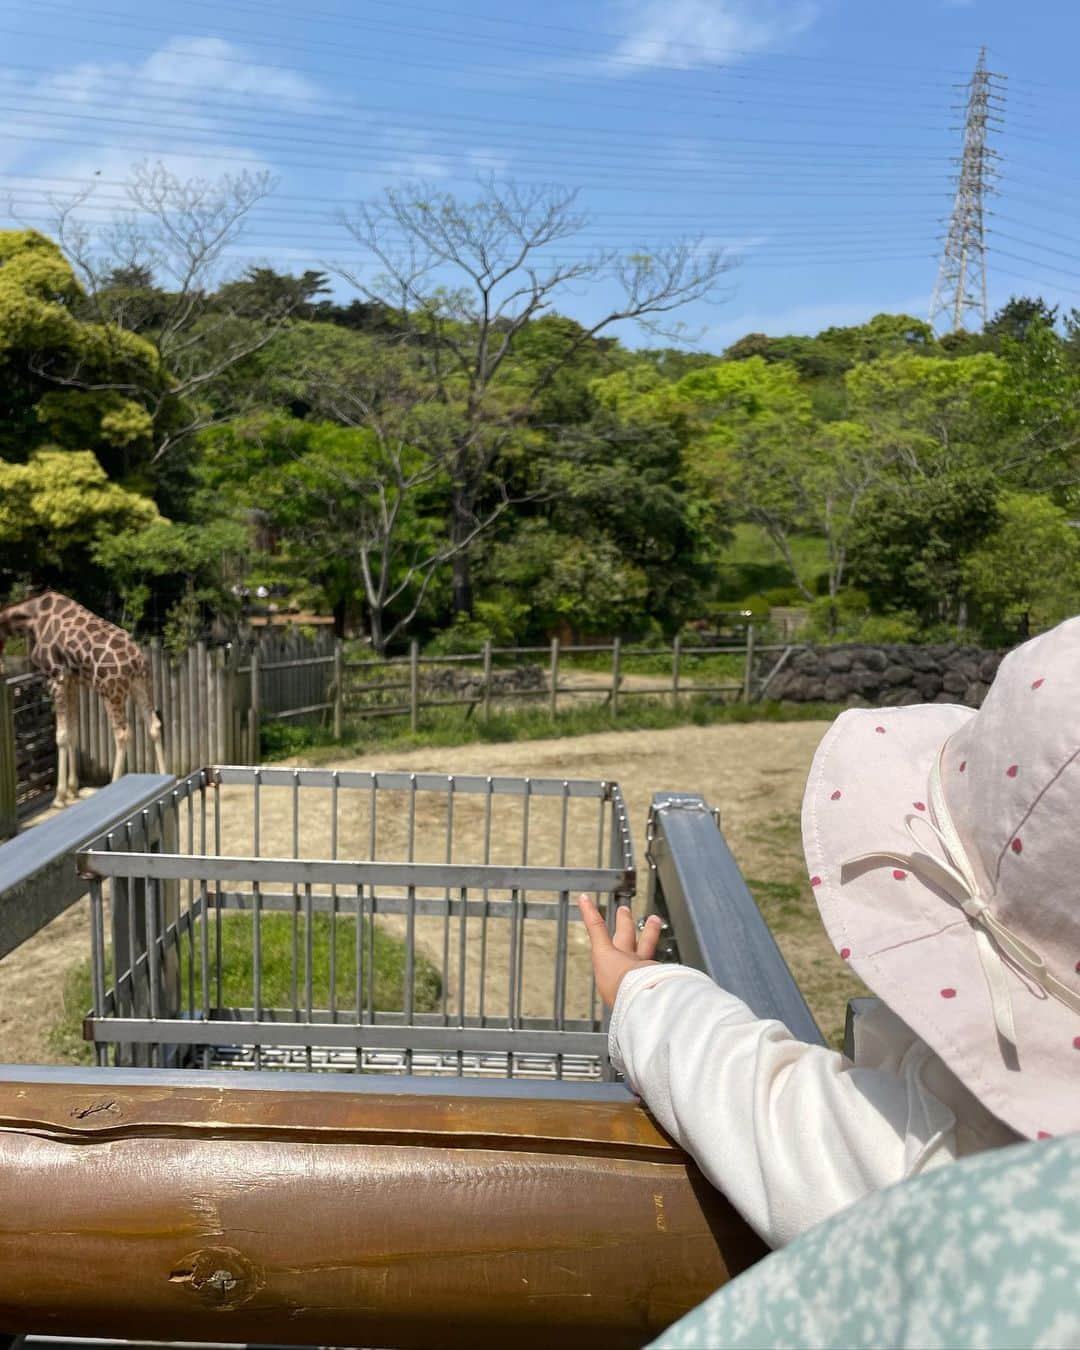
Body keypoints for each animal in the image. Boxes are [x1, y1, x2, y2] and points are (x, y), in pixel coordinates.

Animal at [0, 591, 165, 799]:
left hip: (111, 692)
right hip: (141, 685)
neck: (32, 618)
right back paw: (166, 776)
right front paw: (72, 789)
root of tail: (138, 661)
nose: (2, 668)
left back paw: (114, 785)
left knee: (123, 733)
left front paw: (60, 796)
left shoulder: (55, 677)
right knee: (154, 725)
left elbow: (61, 735)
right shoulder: (72, 680)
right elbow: (73, 732)